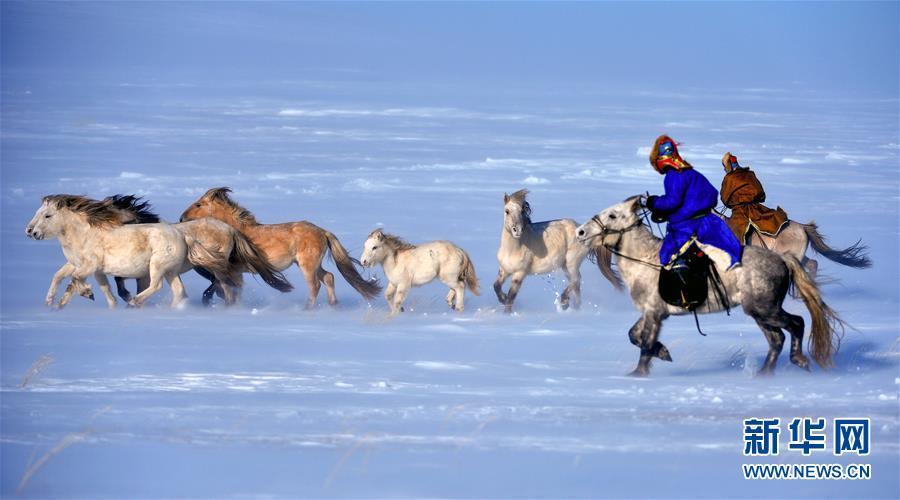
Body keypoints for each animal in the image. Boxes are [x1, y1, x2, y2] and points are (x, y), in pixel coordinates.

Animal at [27, 195, 192, 308]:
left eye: (47, 215)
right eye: (37, 212)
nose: (31, 232)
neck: (83, 235)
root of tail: (180, 233)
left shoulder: (90, 266)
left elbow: (75, 279)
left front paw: (88, 293)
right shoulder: (86, 267)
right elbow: (63, 278)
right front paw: (52, 303)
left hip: (157, 266)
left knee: (156, 285)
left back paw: (134, 302)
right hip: (170, 271)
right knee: (179, 291)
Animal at [179, 187, 380, 306]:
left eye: (199, 204)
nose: (181, 218)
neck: (236, 231)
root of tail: (322, 231)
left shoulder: (234, 271)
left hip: (307, 265)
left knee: (315, 285)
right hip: (311, 264)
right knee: (329, 277)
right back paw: (333, 305)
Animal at [576, 197, 844, 376]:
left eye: (613, 215)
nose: (580, 232)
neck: (645, 258)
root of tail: (782, 259)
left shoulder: (654, 312)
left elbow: (645, 343)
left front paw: (638, 374)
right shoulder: (653, 312)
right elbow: (634, 335)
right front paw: (663, 353)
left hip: (765, 309)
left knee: (796, 324)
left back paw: (798, 360)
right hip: (759, 312)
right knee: (776, 339)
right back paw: (764, 375)